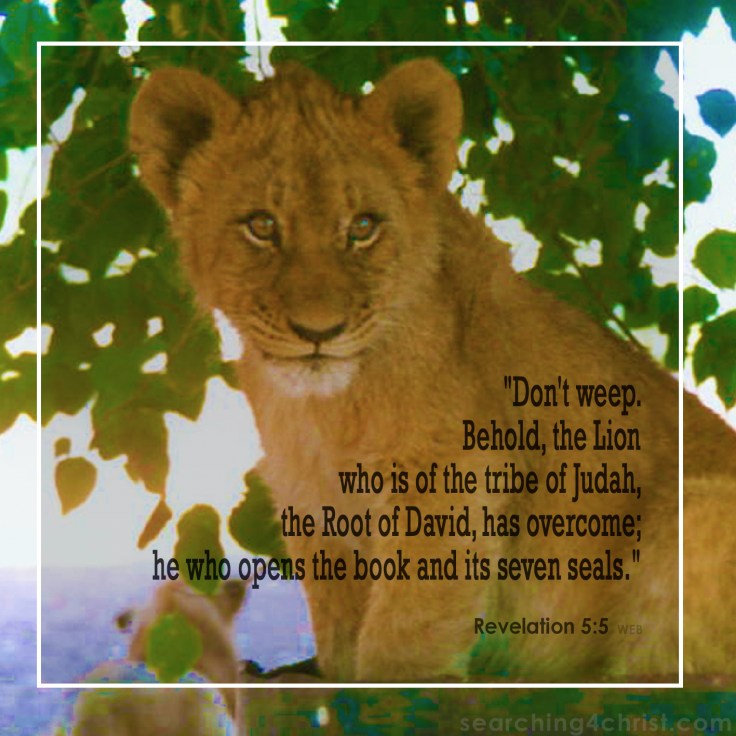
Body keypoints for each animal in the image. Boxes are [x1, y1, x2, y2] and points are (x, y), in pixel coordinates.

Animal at [129, 58, 736, 684]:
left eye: (363, 226)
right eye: (262, 226)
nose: (319, 331)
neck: (326, 410)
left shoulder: (452, 476)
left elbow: (405, 633)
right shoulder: (312, 502)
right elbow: (339, 628)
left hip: (692, 509)